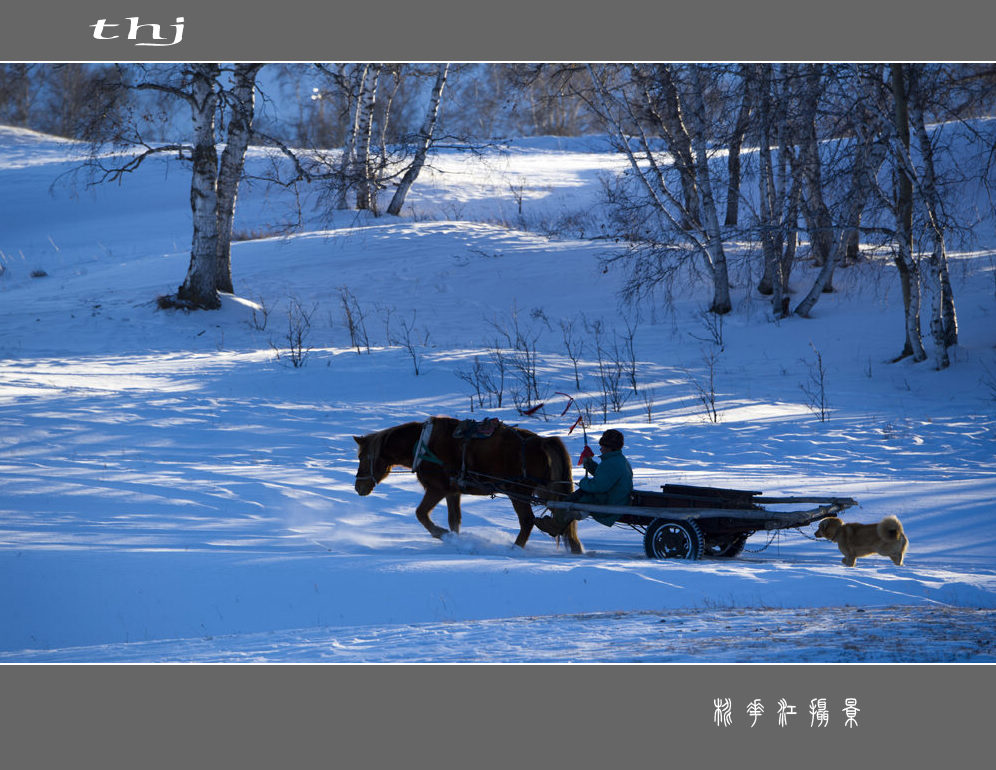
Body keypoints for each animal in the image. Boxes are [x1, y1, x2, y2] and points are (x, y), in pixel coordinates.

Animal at [354, 416, 584, 548]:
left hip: (518, 491)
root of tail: (543, 441)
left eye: (363, 457)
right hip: (545, 490)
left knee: (528, 521)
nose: (358, 487)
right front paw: (455, 540)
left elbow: (421, 514)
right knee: (563, 519)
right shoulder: (452, 492)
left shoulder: (436, 489)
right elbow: (454, 520)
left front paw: (441, 534)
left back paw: (515, 549)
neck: (422, 445)